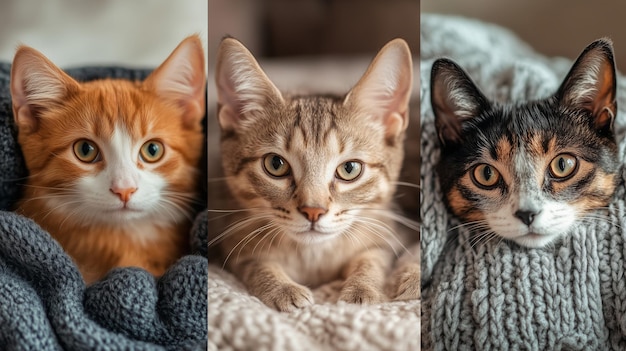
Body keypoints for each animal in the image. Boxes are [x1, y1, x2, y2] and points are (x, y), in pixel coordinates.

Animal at [211, 38, 420, 312]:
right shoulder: (234, 238)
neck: (313, 258)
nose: (313, 211)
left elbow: (373, 257)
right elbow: (255, 263)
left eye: (349, 169)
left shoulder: (389, 233)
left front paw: (363, 287)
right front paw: (281, 287)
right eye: (275, 164)